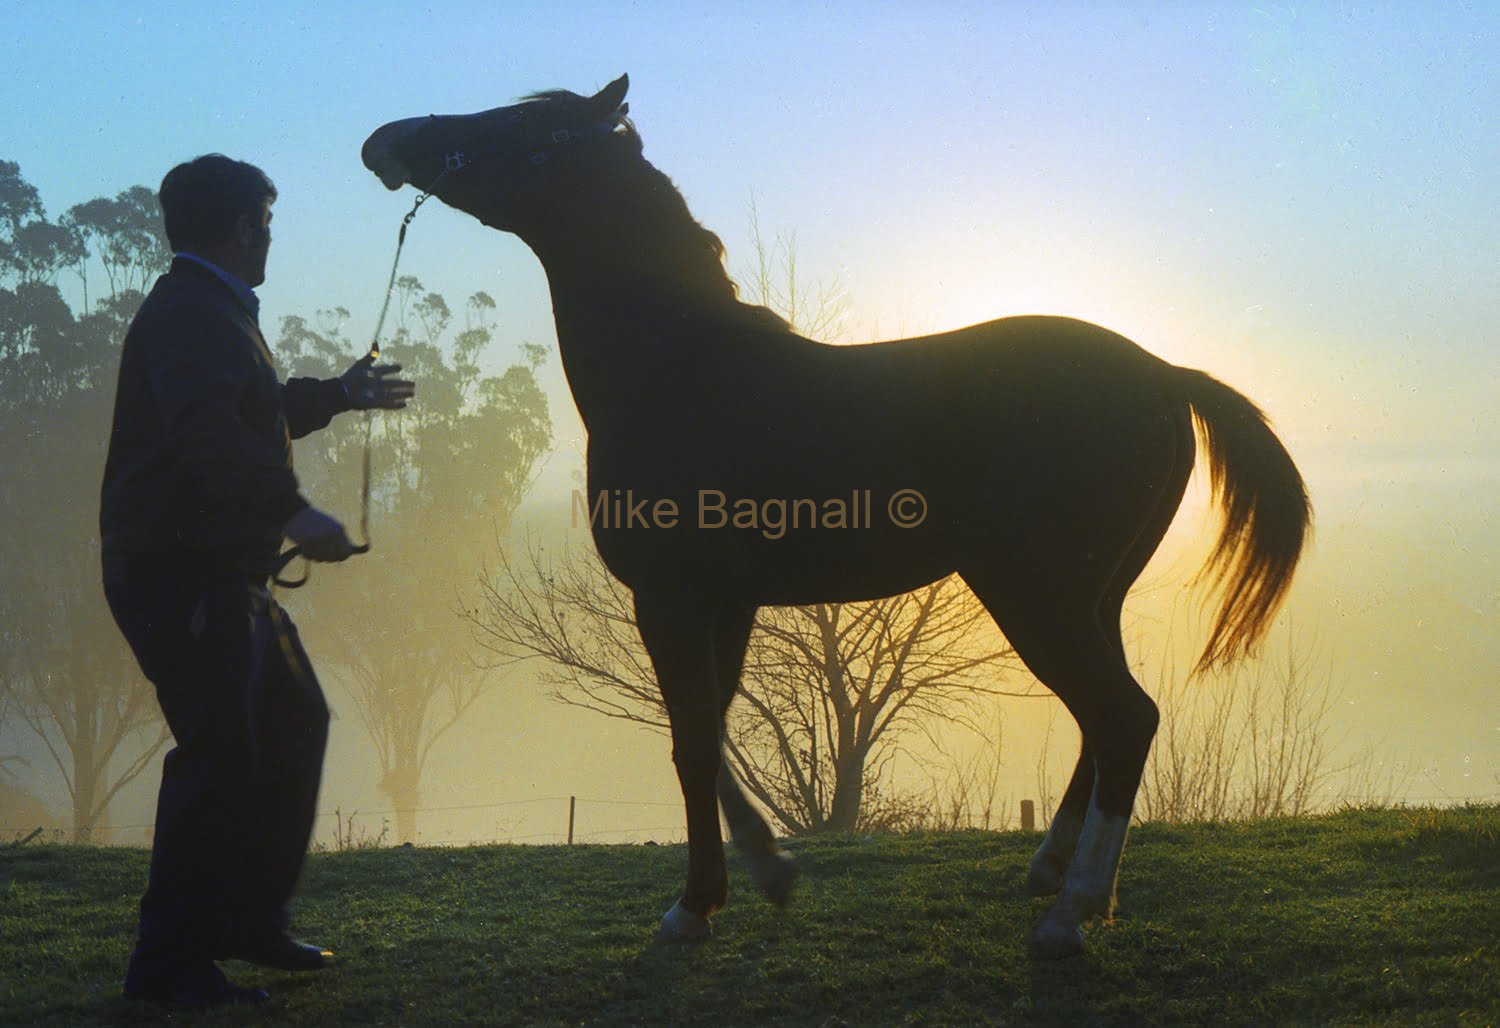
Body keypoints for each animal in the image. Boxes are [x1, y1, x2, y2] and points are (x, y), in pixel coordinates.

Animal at [366, 76, 1314, 960]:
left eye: (526, 122)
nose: (390, 140)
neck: (680, 372)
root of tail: (1162, 371)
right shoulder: (728, 603)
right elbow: (710, 733)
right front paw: (753, 876)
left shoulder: (670, 597)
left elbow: (691, 741)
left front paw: (700, 904)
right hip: (1089, 599)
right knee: (1101, 720)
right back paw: (1051, 871)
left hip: (1036, 596)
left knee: (1125, 716)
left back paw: (1071, 911)